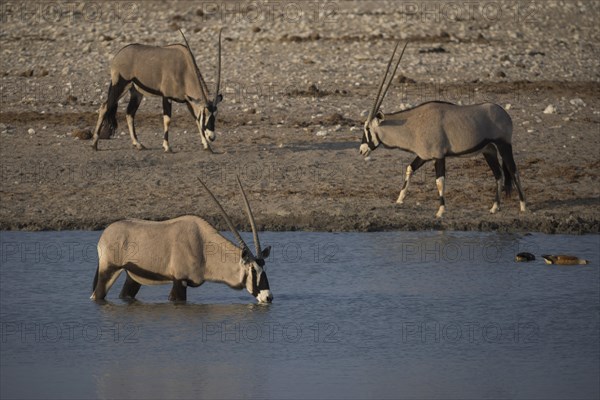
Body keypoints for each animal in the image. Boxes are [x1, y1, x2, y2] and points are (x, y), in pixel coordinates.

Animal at [90, 177, 274, 304]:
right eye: (252, 270)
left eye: (264, 269)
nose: (268, 297)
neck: (203, 247)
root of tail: (105, 234)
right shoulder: (180, 281)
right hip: (109, 270)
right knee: (97, 295)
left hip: (133, 276)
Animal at [92, 28, 224, 152]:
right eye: (205, 114)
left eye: (215, 114)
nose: (212, 137)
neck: (184, 69)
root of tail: (119, 54)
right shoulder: (167, 96)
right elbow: (167, 120)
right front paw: (167, 147)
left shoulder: (188, 100)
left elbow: (196, 119)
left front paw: (207, 146)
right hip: (120, 85)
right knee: (104, 107)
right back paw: (94, 144)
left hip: (136, 92)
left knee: (130, 113)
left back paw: (138, 144)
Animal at [360, 41, 524, 217]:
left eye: (367, 128)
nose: (362, 150)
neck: (413, 123)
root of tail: (504, 113)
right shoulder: (424, 155)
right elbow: (410, 169)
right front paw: (399, 199)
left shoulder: (439, 156)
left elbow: (439, 181)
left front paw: (440, 211)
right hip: (489, 150)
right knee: (499, 174)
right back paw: (495, 207)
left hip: (504, 145)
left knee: (513, 170)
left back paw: (523, 206)